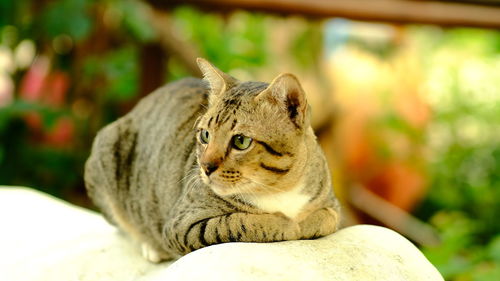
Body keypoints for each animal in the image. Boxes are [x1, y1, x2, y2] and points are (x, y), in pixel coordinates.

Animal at [86, 58, 342, 262]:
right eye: (205, 135)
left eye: (241, 141)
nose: (205, 167)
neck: (279, 189)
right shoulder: (181, 225)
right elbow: (238, 223)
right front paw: (286, 224)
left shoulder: (331, 203)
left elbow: (328, 217)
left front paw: (305, 222)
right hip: (105, 149)